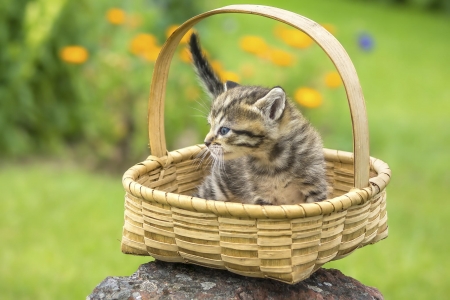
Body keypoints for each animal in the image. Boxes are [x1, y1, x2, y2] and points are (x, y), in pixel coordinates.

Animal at [188, 34, 326, 205]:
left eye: (224, 130)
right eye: (210, 125)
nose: (206, 142)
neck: (274, 160)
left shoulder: (316, 188)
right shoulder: (261, 196)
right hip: (217, 187)